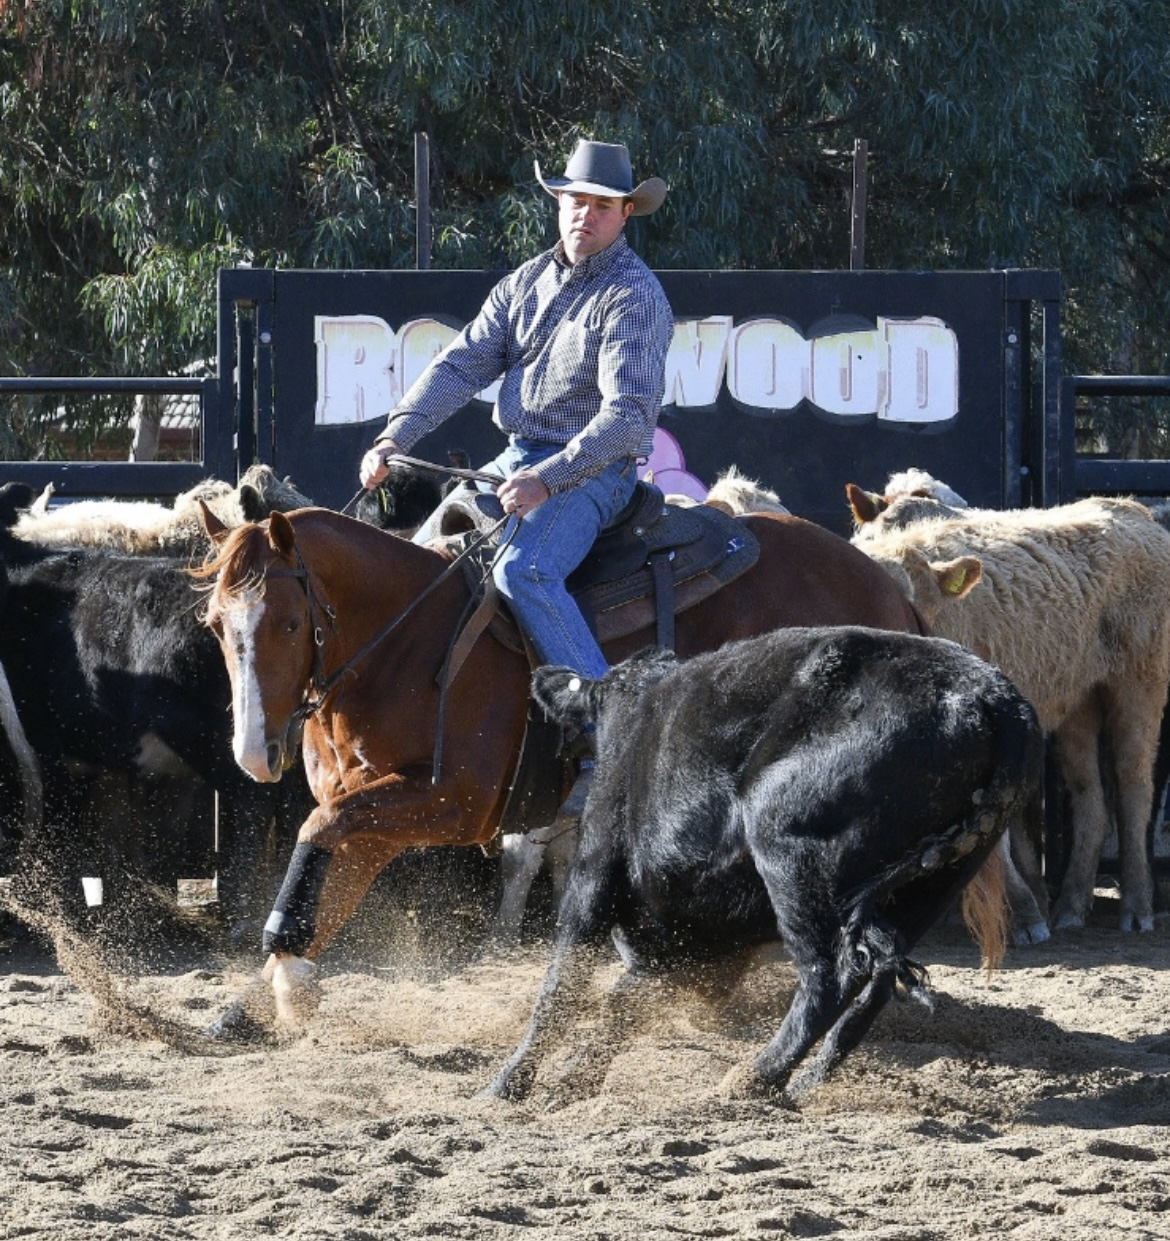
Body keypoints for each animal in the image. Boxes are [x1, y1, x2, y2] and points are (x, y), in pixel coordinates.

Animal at [195, 503, 928, 1034]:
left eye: (290, 624)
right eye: (215, 625)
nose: (254, 752)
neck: (406, 644)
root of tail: (888, 588)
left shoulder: (449, 802)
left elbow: (315, 832)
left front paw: (283, 971)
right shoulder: (374, 816)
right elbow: (329, 881)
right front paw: (269, 994)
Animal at [483, 627, 1042, 1104]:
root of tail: (994, 697)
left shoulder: (595, 876)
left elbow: (562, 988)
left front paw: (507, 1084)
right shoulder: (695, 950)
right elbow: (624, 1004)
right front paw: (572, 1078)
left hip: (789, 849)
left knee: (831, 975)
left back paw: (754, 1078)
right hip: (930, 886)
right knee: (874, 985)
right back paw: (805, 1081)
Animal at [847, 488, 1170, 935]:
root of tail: (1130, 508)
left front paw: (1021, 913)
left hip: (1140, 684)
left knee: (1134, 785)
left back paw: (1137, 905)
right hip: (1078, 703)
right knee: (1089, 796)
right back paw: (1071, 905)